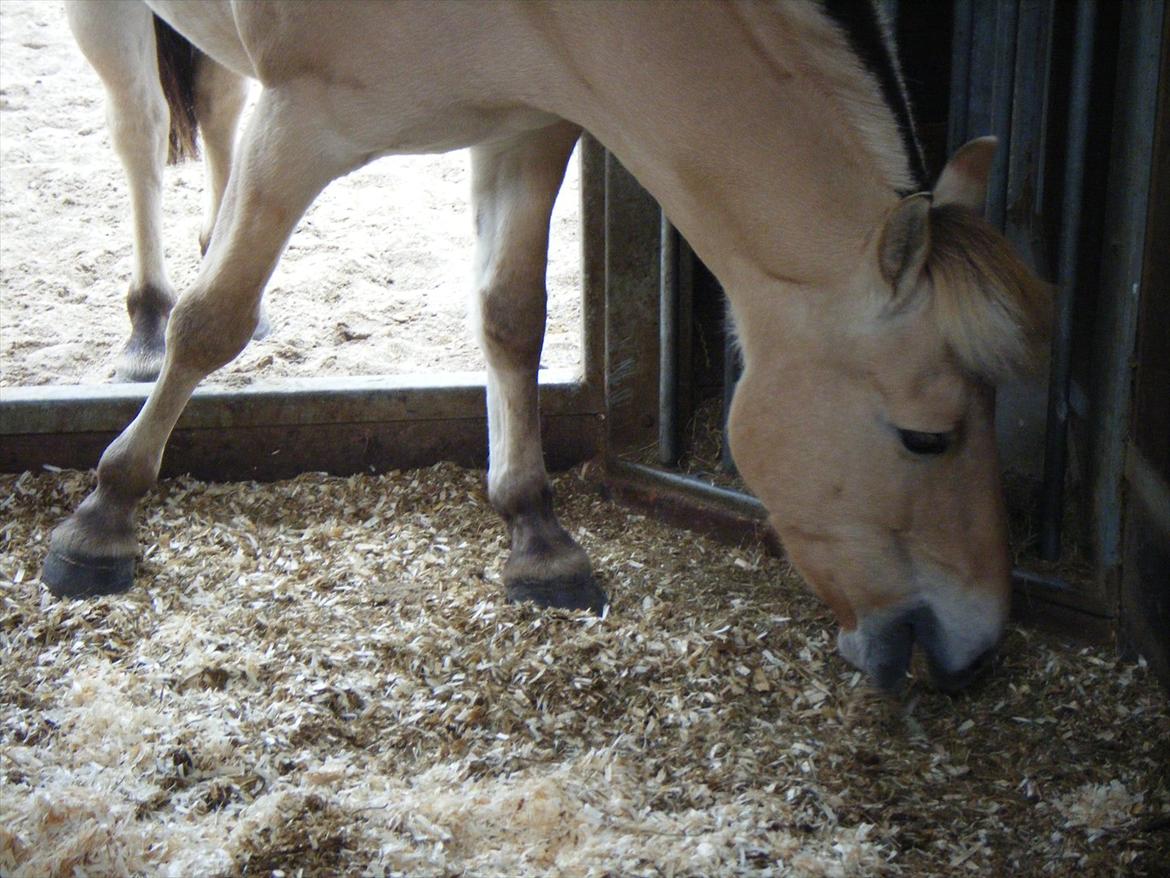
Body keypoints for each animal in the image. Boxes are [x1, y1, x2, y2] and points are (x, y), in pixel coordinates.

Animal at [42, 0, 1050, 693]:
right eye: (928, 437)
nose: (975, 649)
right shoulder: (303, 125)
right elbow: (210, 322)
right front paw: (103, 516)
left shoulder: (527, 124)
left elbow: (511, 317)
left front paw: (536, 532)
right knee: (138, 130)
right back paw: (144, 318)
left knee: (213, 99)